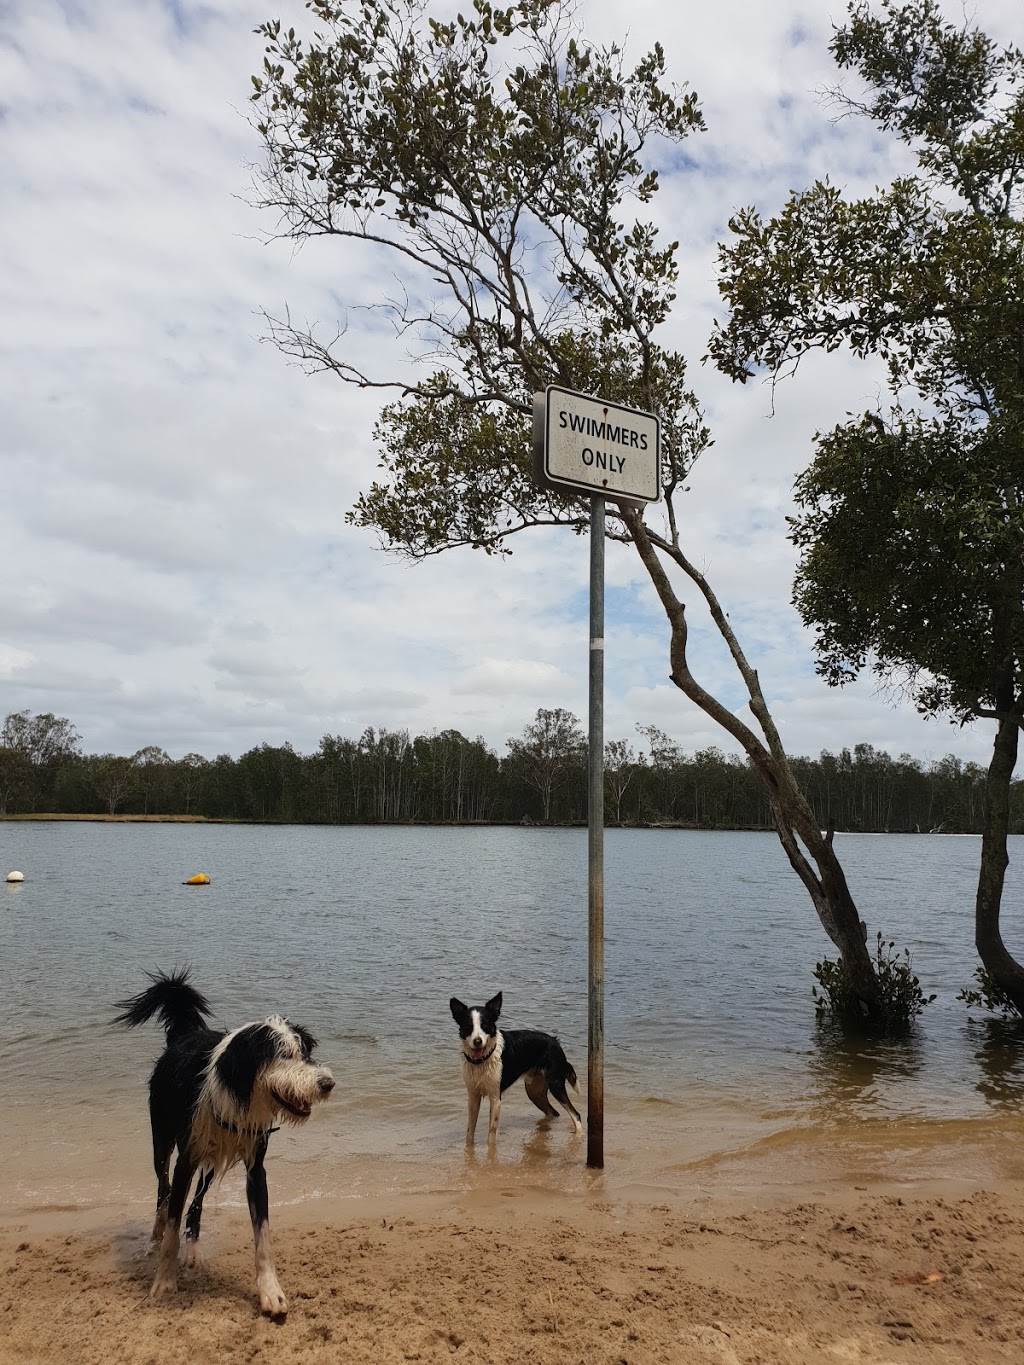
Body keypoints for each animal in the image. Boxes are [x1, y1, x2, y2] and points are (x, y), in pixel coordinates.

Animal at [114, 966, 334, 1315]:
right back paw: (155, 1235)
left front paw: (271, 1292)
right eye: (284, 1055)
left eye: (306, 1053)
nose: (327, 1083)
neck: (237, 1092)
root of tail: (184, 1034)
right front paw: (164, 1282)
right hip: (162, 1141)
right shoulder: (186, 1160)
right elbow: (172, 1224)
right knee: (163, 1189)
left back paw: (193, 1247)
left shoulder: (256, 1169)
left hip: (211, 1161)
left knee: (198, 1200)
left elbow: (262, 1237)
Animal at [450, 993, 584, 1141]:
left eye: (485, 1025)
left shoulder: (495, 1098)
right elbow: (470, 1132)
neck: (483, 1060)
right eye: (468, 1026)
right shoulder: (473, 1096)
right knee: (553, 1112)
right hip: (534, 1092)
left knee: (576, 1114)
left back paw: (579, 1136)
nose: (477, 1041)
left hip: (555, 1084)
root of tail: (556, 1043)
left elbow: (491, 1133)